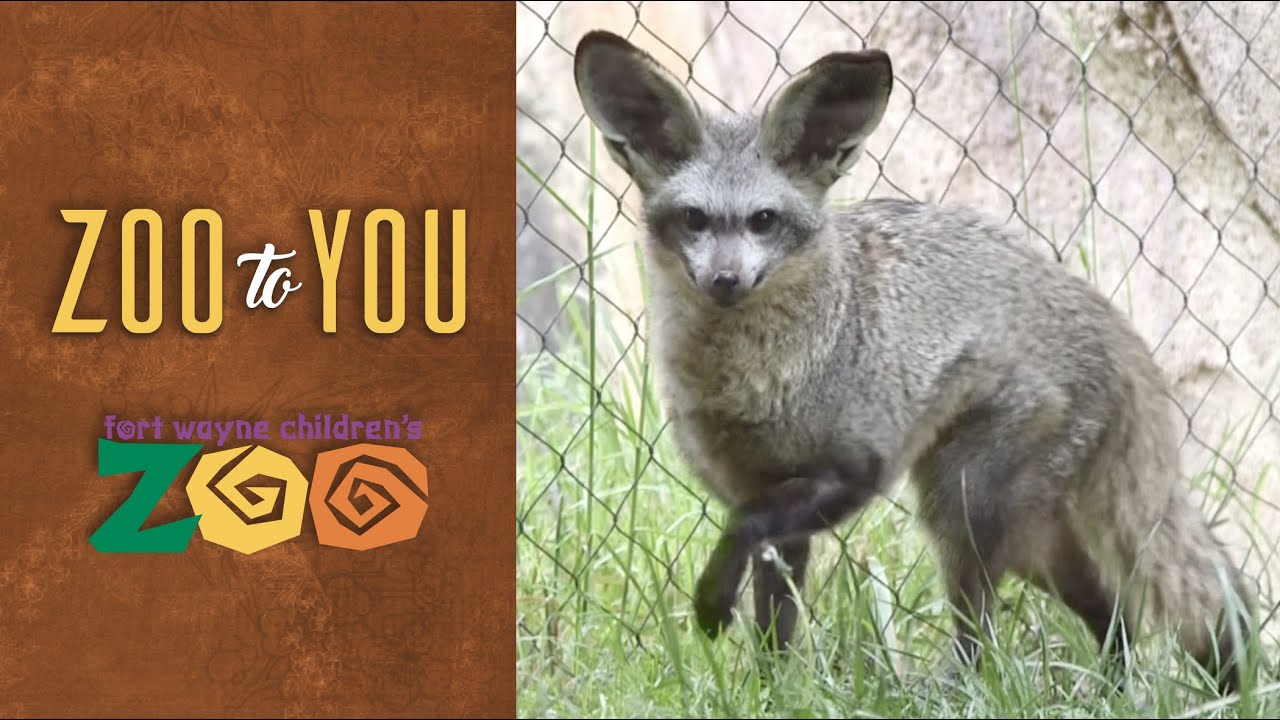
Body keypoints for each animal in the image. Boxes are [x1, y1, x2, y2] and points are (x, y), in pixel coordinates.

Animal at [571, 30, 1258, 693]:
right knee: (1117, 611)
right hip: (1021, 527)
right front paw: (766, 696)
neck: (762, 382)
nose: (724, 281)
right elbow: (773, 631)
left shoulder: (854, 471)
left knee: (997, 639)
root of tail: (1111, 322)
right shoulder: (771, 508)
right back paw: (1113, 689)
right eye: (695, 219)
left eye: (763, 221)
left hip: (964, 507)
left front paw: (713, 602)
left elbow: (743, 529)